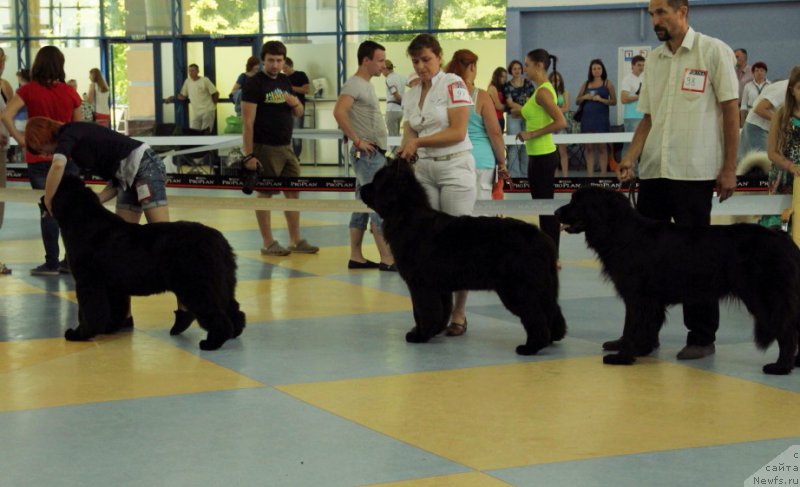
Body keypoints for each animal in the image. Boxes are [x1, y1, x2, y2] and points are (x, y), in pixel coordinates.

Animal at [50, 175, 244, 350]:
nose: (43, 200)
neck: (83, 221)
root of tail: (220, 241)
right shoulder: (112, 286)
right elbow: (114, 309)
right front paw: (109, 328)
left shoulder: (88, 283)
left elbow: (89, 312)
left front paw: (78, 334)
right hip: (222, 284)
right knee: (233, 309)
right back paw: (234, 332)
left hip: (198, 287)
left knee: (217, 314)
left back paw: (212, 342)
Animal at [360, 158, 564, 356]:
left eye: (376, 182)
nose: (361, 188)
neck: (406, 214)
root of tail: (541, 238)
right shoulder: (439, 287)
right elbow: (440, 312)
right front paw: (433, 331)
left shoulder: (420, 285)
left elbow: (423, 311)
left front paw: (419, 335)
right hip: (542, 287)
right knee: (552, 310)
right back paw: (553, 337)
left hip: (518, 288)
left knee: (535, 315)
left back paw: (531, 347)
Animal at [556, 186, 800, 374]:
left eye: (577, 202)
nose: (556, 211)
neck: (622, 233)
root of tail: (783, 237)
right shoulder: (649, 300)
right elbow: (644, 326)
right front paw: (640, 349)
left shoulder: (638, 297)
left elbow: (631, 326)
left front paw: (623, 356)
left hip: (764, 297)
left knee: (787, 330)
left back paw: (781, 366)